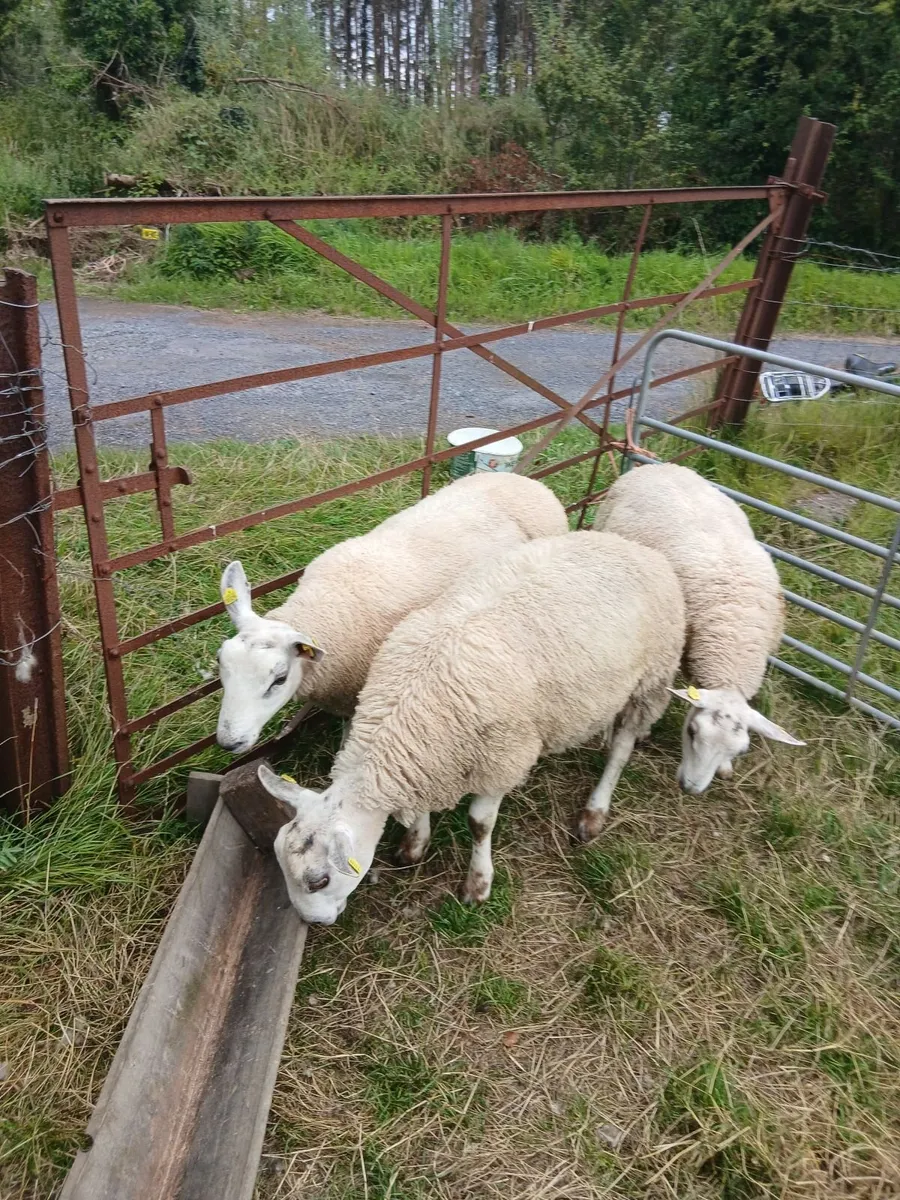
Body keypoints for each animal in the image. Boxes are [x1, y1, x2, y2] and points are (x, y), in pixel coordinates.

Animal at [256, 530, 686, 925]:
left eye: (319, 881)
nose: (314, 922)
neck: (405, 717)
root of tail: (631, 544)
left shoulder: (502, 759)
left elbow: (480, 824)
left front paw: (477, 885)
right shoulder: (430, 757)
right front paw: (415, 845)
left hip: (651, 677)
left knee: (622, 749)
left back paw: (594, 810)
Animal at [593, 461, 803, 794]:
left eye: (741, 750)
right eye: (691, 730)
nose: (690, 788)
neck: (735, 636)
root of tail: (660, 465)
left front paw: (726, 768)